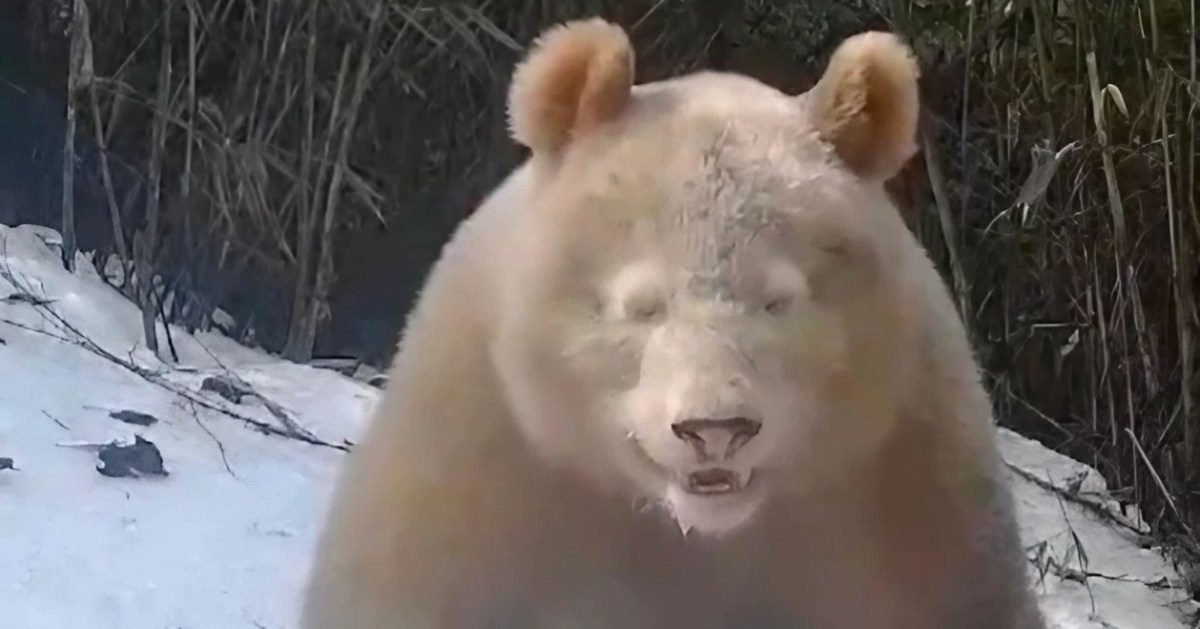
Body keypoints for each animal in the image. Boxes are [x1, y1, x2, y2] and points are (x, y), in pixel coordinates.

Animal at [300, 14, 1051, 629]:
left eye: (778, 299)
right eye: (642, 304)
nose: (715, 430)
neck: (696, 526)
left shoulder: (897, 500)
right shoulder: (490, 466)